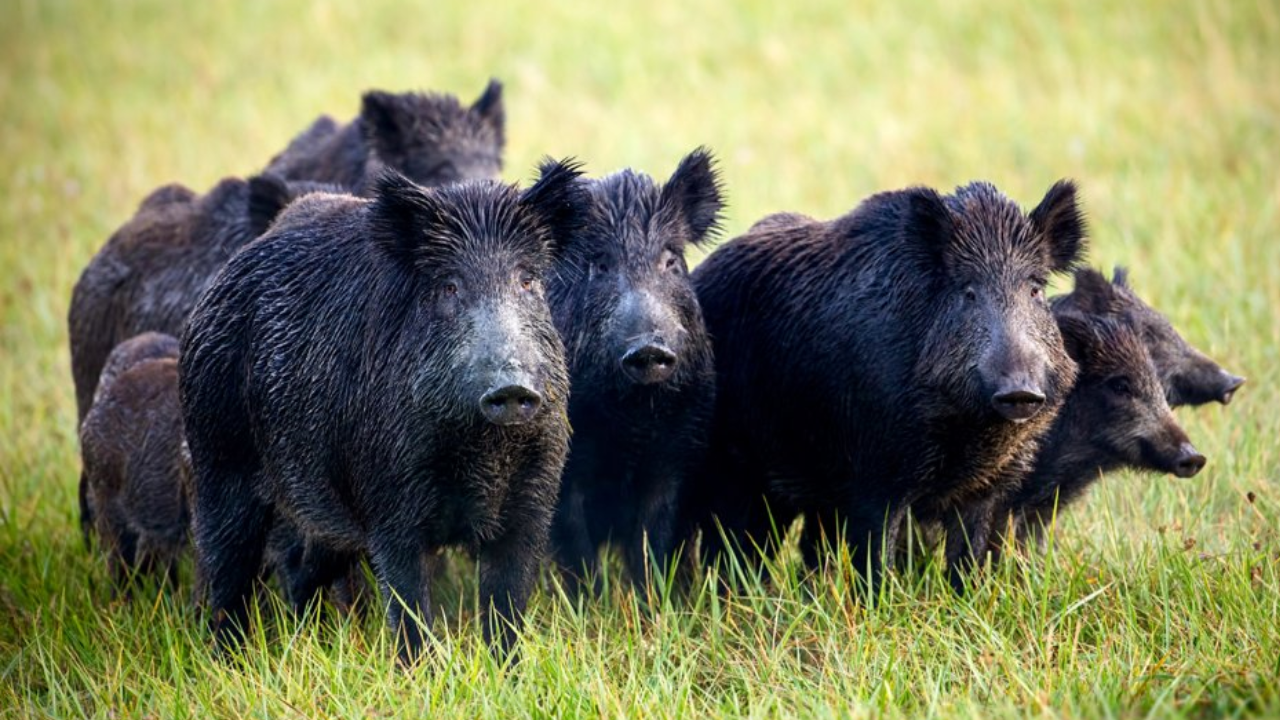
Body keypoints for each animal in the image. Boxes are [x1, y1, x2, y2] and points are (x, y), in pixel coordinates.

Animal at [180, 162, 586, 662]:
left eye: (528, 281)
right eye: (449, 286)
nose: (511, 386)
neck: (482, 449)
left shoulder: (533, 502)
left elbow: (506, 610)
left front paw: (506, 670)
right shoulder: (391, 503)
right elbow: (410, 609)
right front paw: (421, 671)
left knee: (301, 568)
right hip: (218, 460)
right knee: (226, 571)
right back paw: (228, 658)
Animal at [547, 149, 722, 592]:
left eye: (671, 260)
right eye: (601, 264)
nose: (648, 347)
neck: (632, 419)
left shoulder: (677, 455)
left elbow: (653, 541)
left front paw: (655, 601)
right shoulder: (567, 469)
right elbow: (576, 548)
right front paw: (591, 603)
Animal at [682, 180, 1086, 587]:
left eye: (1035, 290)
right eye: (968, 291)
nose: (1020, 390)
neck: (969, 429)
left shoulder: (985, 488)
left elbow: (967, 562)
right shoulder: (876, 475)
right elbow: (877, 562)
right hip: (735, 469)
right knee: (733, 549)